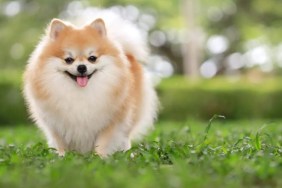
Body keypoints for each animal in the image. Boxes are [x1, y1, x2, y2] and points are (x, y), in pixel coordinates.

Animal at [23, 10, 158, 157]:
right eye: (68, 60)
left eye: (92, 58)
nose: (82, 67)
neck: (82, 93)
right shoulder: (57, 125)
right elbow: (61, 144)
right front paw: (63, 157)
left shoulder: (110, 122)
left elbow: (103, 143)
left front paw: (100, 157)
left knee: (125, 137)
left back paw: (128, 153)